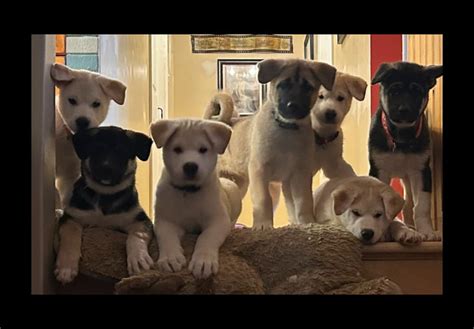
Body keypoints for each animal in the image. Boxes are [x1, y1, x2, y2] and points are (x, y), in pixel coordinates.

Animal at [54, 125, 154, 282]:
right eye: (96, 150)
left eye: (121, 152)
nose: (106, 169)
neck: (105, 194)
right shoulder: (71, 217)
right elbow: (71, 234)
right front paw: (66, 267)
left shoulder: (141, 219)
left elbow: (137, 235)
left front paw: (139, 259)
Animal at [204, 59, 336, 228]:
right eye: (282, 85)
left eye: (308, 87)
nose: (293, 105)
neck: (286, 129)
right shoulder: (259, 170)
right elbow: (263, 200)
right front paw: (263, 225)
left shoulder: (300, 173)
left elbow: (304, 201)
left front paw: (307, 223)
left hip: (238, 184)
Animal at [368, 61, 442, 240]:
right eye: (395, 91)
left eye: (417, 92)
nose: (404, 110)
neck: (401, 137)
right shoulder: (379, 171)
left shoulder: (421, 172)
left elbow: (422, 205)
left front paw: (426, 231)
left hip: (408, 180)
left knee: (409, 204)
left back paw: (411, 227)